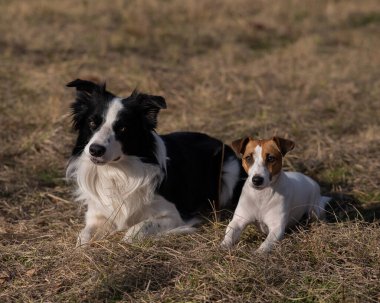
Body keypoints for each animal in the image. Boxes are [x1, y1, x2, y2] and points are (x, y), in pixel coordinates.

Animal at [66, 79, 240, 246]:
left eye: (123, 128)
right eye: (92, 123)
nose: (95, 150)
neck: (116, 171)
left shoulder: (172, 215)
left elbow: (137, 229)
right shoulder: (97, 215)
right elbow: (83, 237)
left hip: (229, 174)